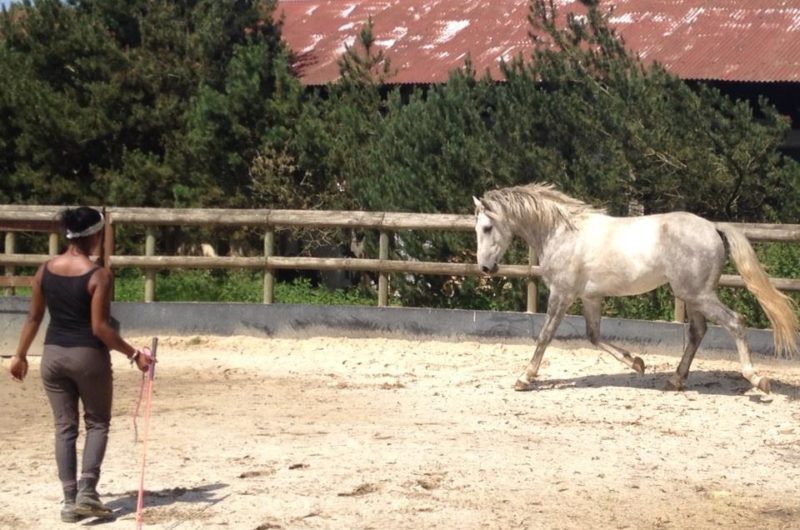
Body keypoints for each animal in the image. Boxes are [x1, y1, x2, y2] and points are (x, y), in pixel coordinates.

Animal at [472, 184, 796, 390]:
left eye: (487, 228)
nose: (485, 268)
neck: (561, 232)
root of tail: (713, 227)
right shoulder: (590, 297)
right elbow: (594, 336)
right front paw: (637, 363)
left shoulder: (561, 295)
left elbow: (545, 335)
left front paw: (524, 378)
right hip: (692, 296)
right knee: (697, 331)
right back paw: (675, 380)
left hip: (699, 295)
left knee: (735, 322)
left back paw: (757, 379)